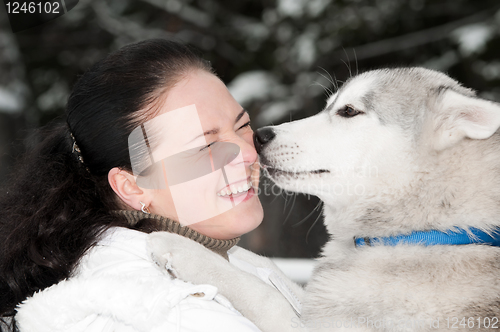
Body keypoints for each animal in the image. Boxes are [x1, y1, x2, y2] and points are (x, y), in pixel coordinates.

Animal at [146, 68, 500, 332]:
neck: (421, 231)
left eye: (348, 111)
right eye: (330, 105)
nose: (260, 136)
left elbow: (264, 294)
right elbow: (274, 274)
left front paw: (183, 249)